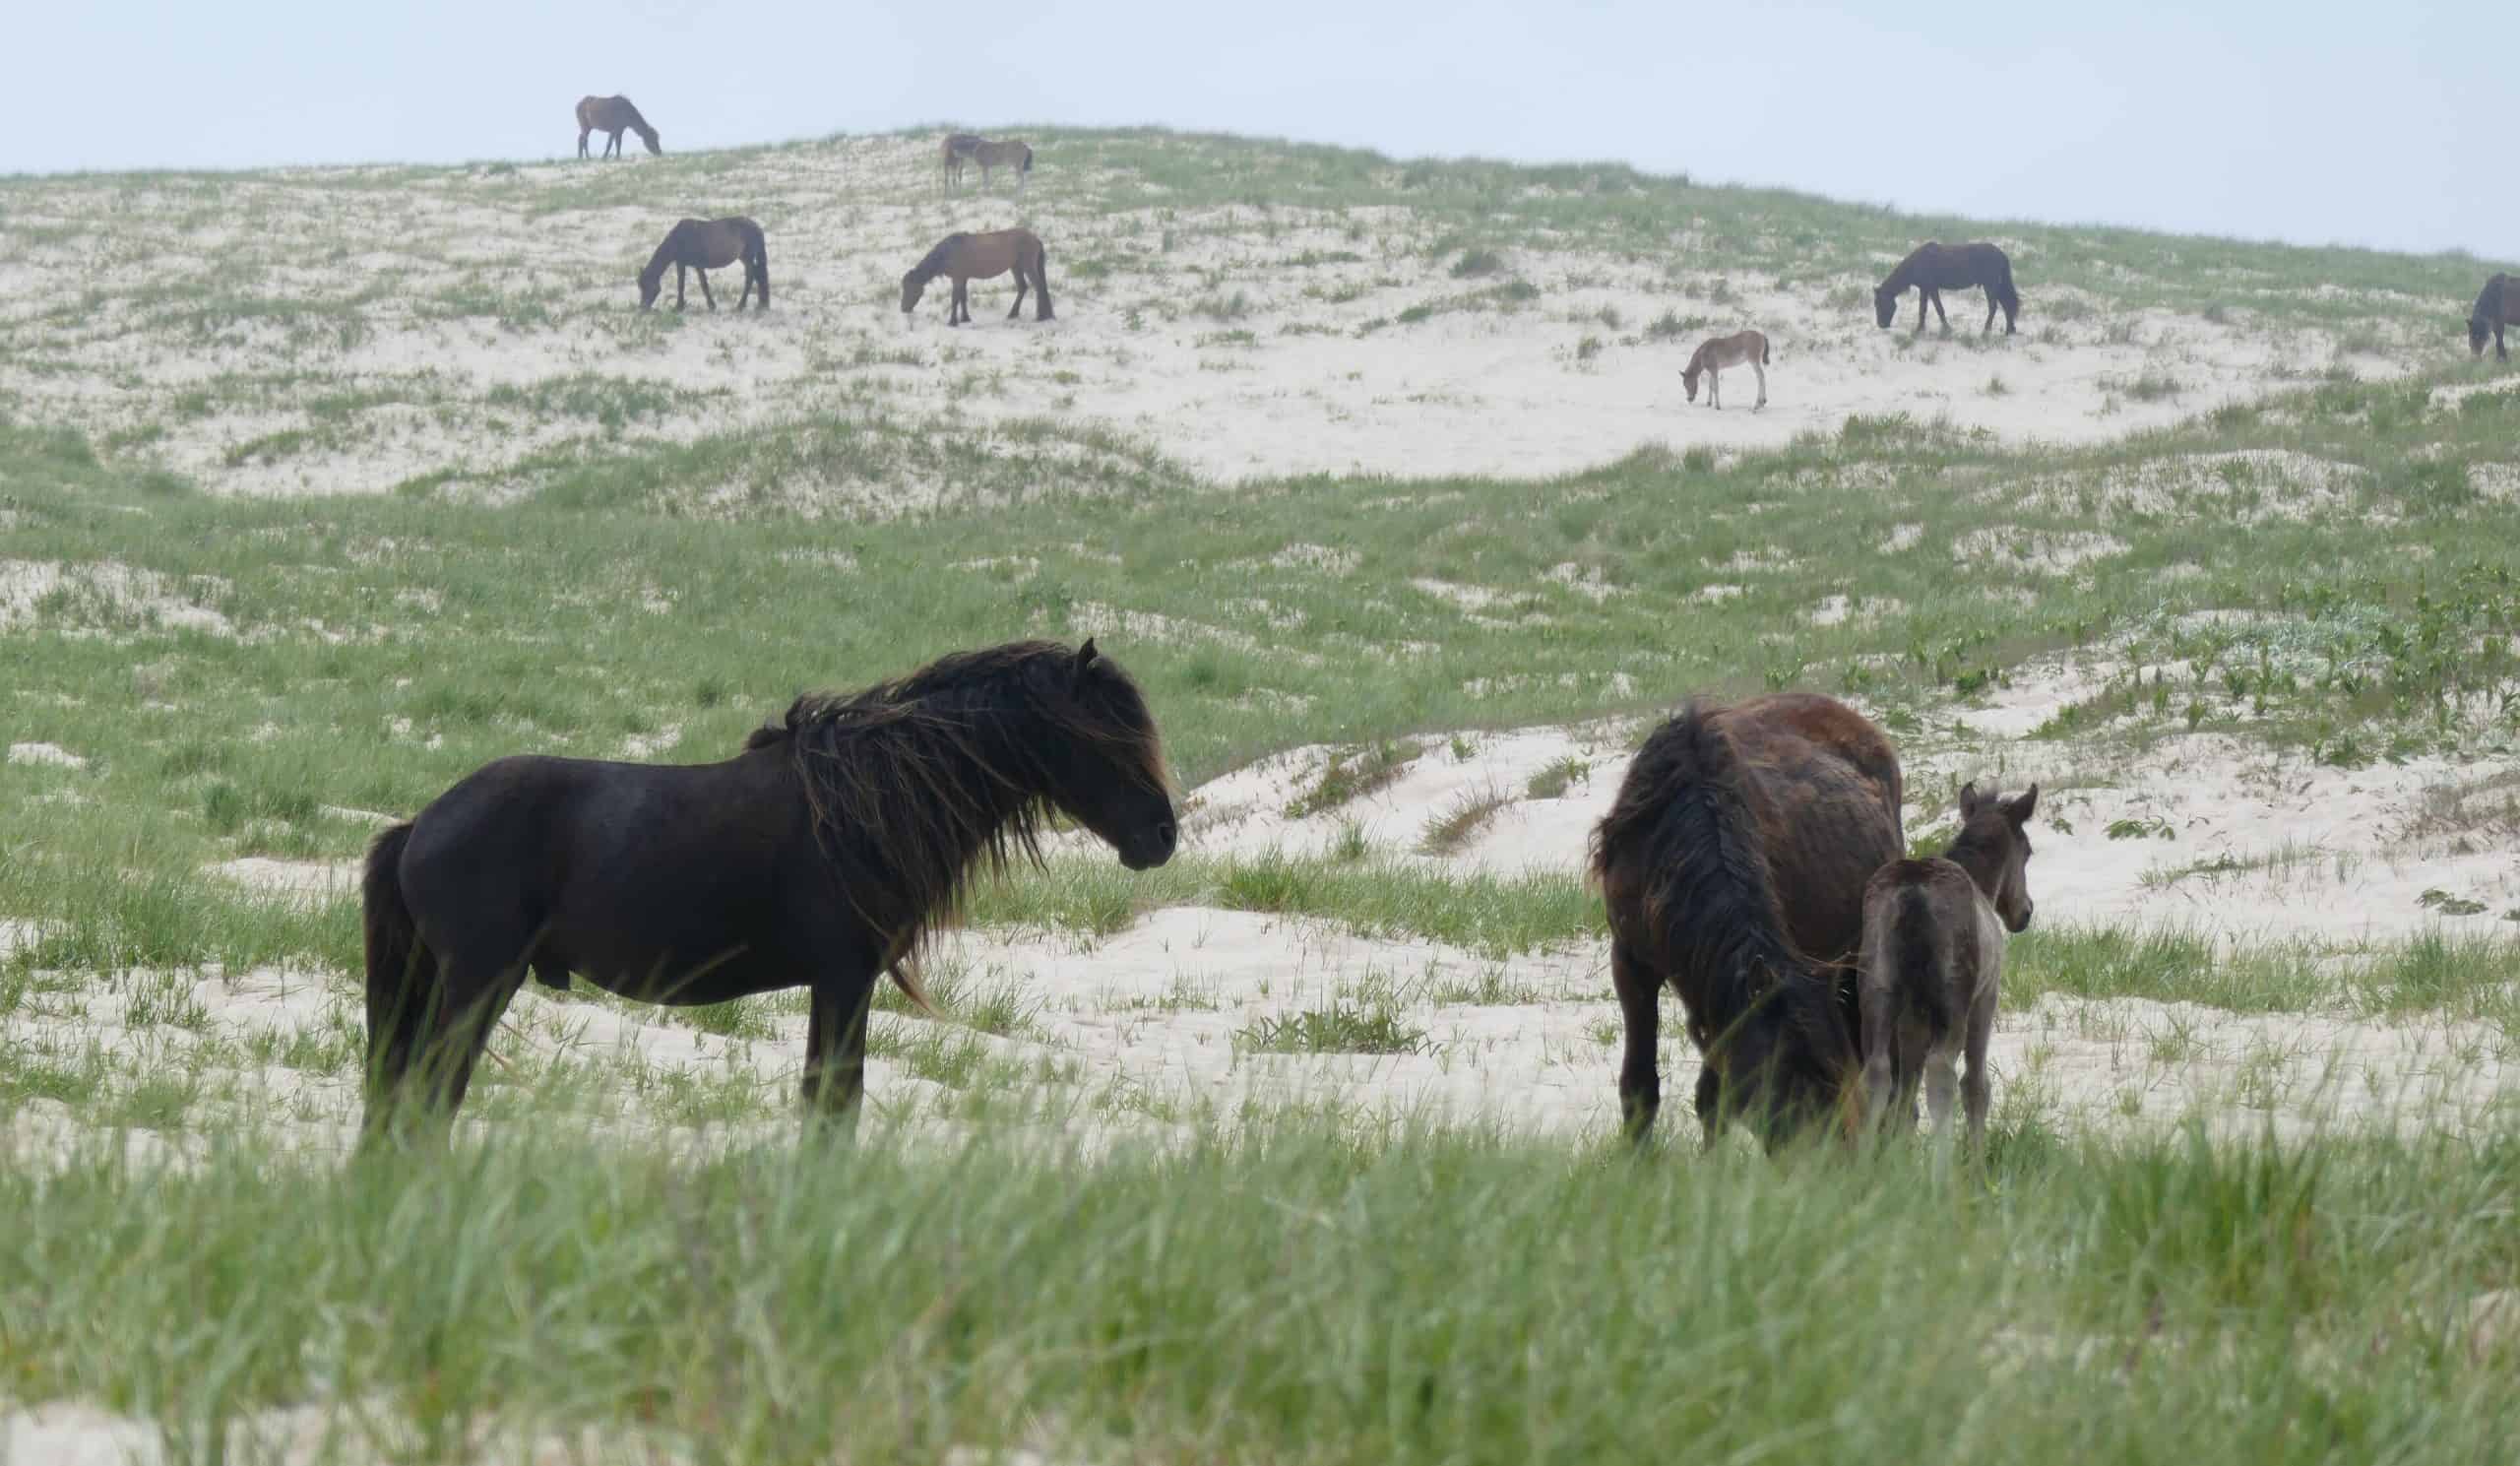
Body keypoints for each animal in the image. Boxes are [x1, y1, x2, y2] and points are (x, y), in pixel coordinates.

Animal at [358, 639, 1177, 1146]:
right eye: (1105, 738)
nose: (1162, 835)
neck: (867, 803)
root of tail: (420, 823)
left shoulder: (838, 984)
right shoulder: (845, 979)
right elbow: (834, 1106)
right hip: (478, 983)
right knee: (430, 1094)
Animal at [637, 218, 769, 312]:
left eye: (647, 286)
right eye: (641, 286)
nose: (643, 308)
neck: (679, 239)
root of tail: (757, 227)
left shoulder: (698, 265)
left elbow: (703, 284)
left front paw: (711, 306)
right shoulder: (681, 264)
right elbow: (681, 284)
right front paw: (679, 306)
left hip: (748, 258)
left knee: (751, 277)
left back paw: (740, 306)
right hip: (744, 258)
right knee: (757, 276)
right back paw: (761, 304)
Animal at [901, 229, 1053, 326]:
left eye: (909, 288)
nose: (903, 309)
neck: (948, 252)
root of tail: (1035, 238)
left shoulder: (957, 278)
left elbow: (955, 299)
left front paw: (952, 322)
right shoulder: (963, 278)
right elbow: (962, 297)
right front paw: (965, 319)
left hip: (1027, 266)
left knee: (1039, 286)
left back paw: (1040, 316)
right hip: (1016, 267)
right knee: (1023, 288)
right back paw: (1013, 314)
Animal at [1856, 782, 2038, 1154]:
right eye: (2027, 851)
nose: (2025, 911)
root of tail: (1912, 894)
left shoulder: (1911, 1016)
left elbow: (1905, 1094)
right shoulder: (1987, 995)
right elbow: (1976, 1085)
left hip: (1877, 990)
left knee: (1877, 1073)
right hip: (1953, 997)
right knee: (1941, 1073)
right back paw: (1944, 1165)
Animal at [1874, 242, 2019, 336]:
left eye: (1880, 304)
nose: (1881, 325)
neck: (1917, 263)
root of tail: (2001, 254)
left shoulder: (1932, 288)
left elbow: (1939, 309)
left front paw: (1947, 329)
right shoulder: (1924, 289)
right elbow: (1922, 309)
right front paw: (1919, 329)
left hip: (1990, 285)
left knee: (1994, 306)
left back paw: (1986, 331)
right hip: (1996, 286)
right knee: (2006, 305)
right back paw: (2009, 330)